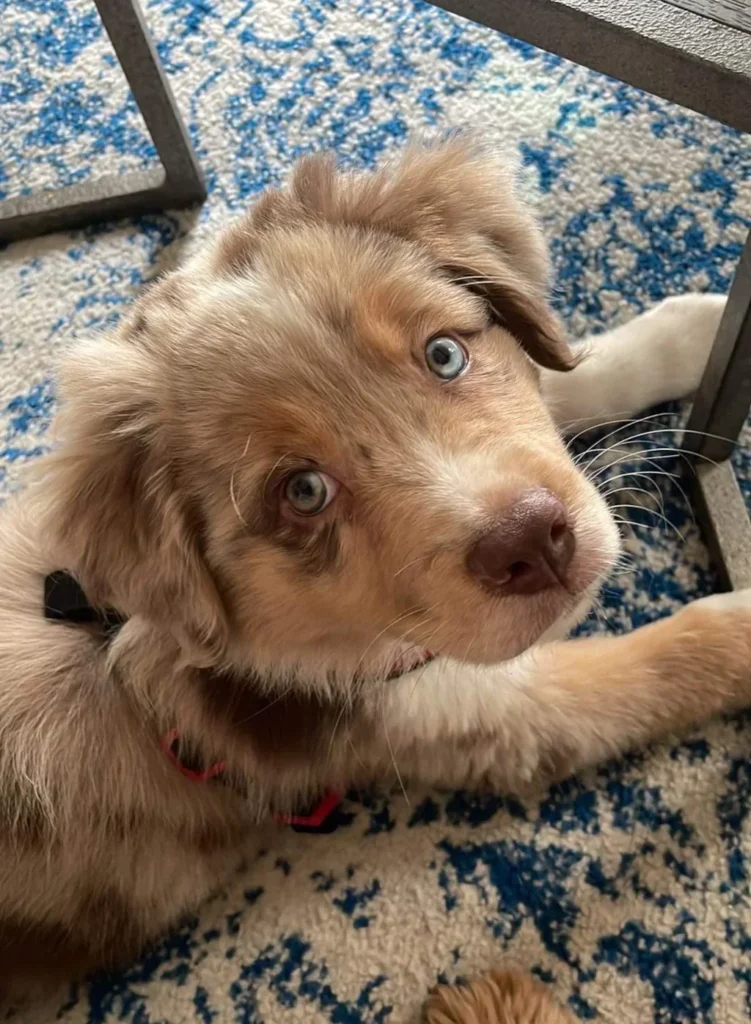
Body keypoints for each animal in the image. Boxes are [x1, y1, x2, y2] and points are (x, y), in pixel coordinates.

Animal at [0, 140, 741, 1003]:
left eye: (444, 353)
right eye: (303, 493)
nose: (531, 542)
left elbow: (559, 379)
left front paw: (694, 329)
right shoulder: (470, 715)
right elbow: (673, 652)